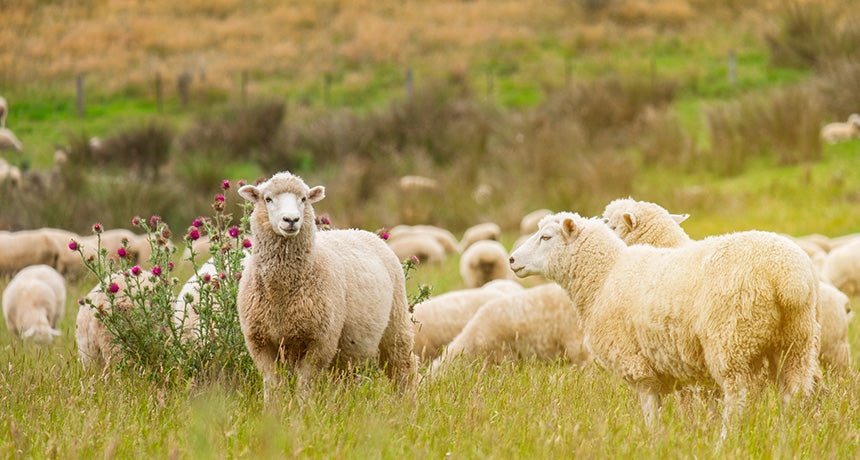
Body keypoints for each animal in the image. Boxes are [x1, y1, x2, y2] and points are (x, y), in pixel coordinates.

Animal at [237, 172, 418, 398]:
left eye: (304, 199)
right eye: (267, 199)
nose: (291, 220)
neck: (282, 294)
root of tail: (360, 231)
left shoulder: (320, 342)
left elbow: (304, 384)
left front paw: (302, 406)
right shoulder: (259, 342)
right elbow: (272, 385)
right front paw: (274, 408)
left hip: (396, 322)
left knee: (403, 366)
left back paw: (407, 399)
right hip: (346, 349)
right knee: (345, 379)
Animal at [510, 212, 820, 434]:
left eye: (546, 237)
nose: (512, 259)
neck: (604, 276)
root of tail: (787, 275)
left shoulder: (636, 364)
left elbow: (650, 411)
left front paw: (653, 442)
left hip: (731, 339)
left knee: (738, 398)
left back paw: (725, 442)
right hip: (797, 341)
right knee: (793, 394)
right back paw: (787, 437)